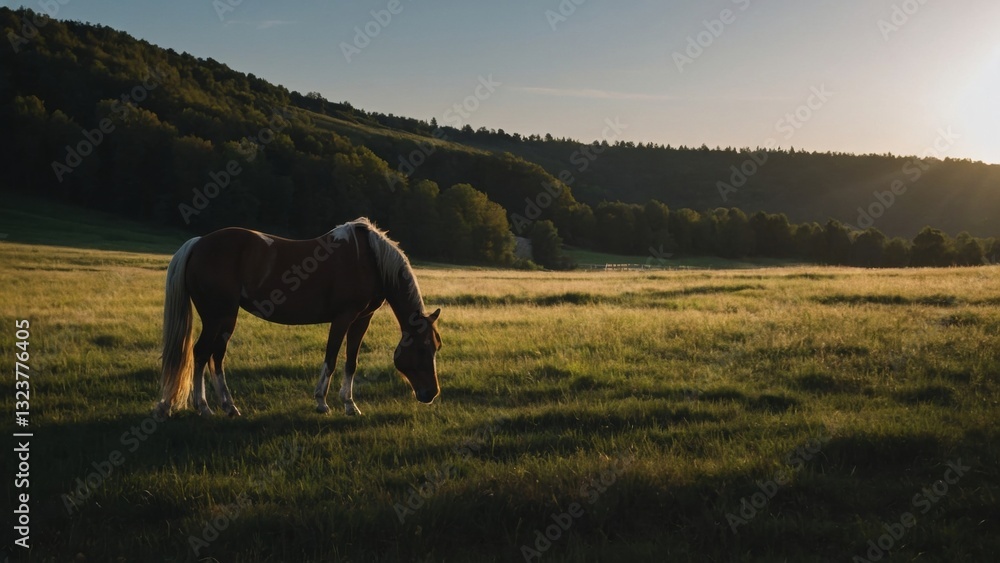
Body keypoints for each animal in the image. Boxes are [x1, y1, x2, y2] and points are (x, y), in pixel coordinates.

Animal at [155, 217, 441, 418]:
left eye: (436, 348)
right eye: (423, 349)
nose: (432, 393)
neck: (370, 259)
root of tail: (198, 243)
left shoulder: (362, 319)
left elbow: (351, 361)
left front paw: (350, 405)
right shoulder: (343, 317)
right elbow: (331, 359)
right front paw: (322, 402)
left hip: (223, 319)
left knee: (214, 356)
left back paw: (227, 406)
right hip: (219, 317)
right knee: (204, 353)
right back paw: (205, 407)